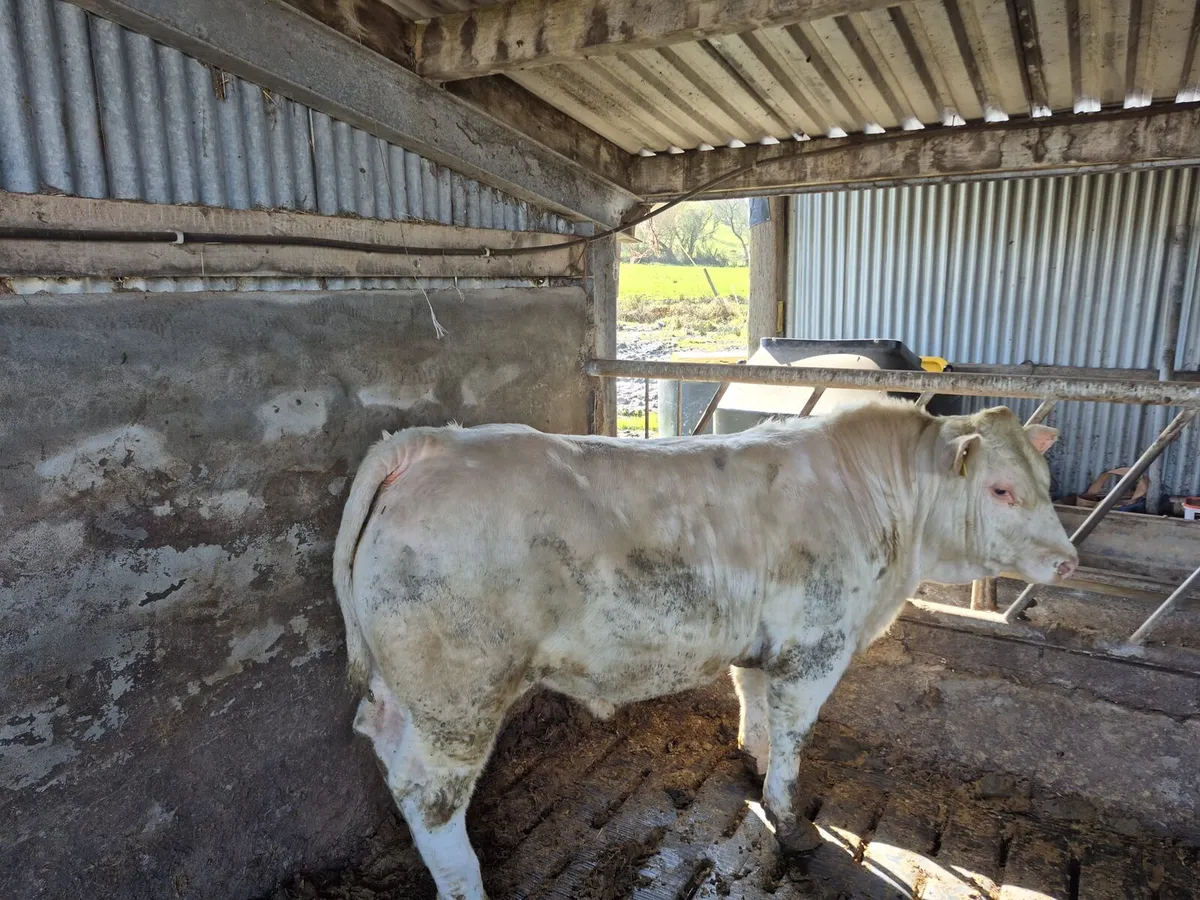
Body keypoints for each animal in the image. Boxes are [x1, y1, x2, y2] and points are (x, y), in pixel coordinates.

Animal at [333, 400, 1076, 900]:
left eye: (1044, 480)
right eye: (1001, 489)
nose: (1069, 561)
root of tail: (431, 443)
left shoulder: (764, 642)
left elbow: (756, 705)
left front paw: (754, 758)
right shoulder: (816, 646)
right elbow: (796, 732)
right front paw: (789, 817)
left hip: (409, 687)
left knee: (384, 740)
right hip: (459, 690)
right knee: (429, 793)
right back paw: (464, 883)